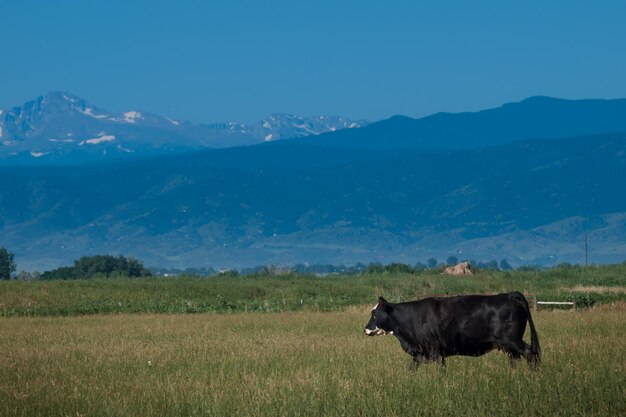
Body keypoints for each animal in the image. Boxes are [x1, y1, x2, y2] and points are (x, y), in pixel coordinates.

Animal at [364, 290, 540, 366]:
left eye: (375, 314)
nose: (365, 329)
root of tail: (509, 294)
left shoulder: (434, 350)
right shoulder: (423, 353)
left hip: (513, 339)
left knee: (530, 353)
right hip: (508, 345)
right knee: (516, 358)